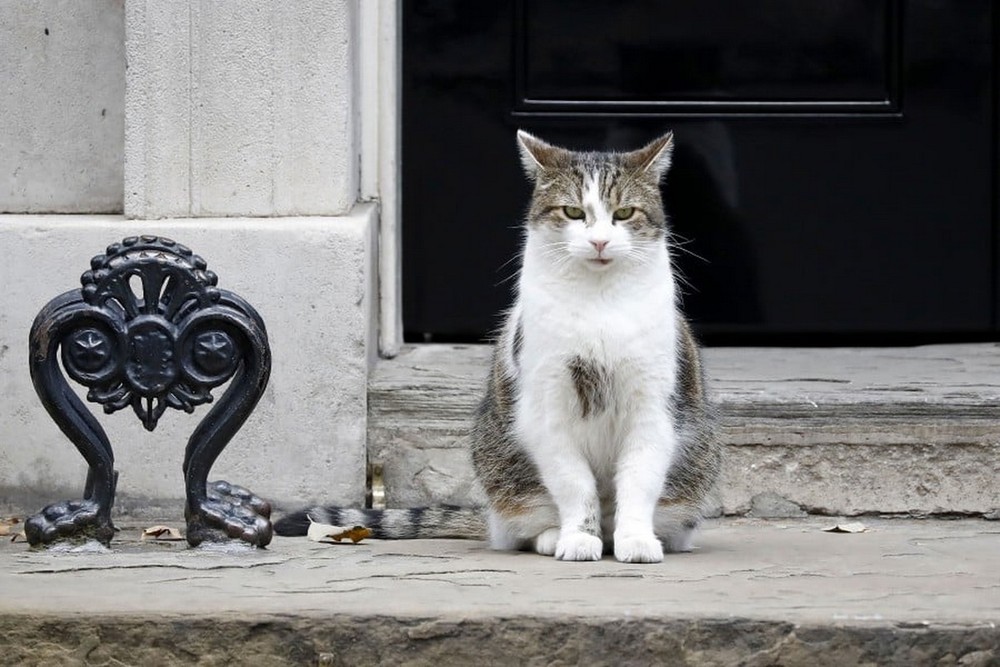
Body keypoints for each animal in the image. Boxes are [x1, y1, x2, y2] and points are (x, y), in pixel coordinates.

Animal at [278, 130, 724, 564]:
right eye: (573, 213)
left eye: (625, 214)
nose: (599, 242)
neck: (599, 303)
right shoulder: (546, 407)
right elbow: (574, 484)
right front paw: (578, 538)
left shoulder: (653, 407)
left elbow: (638, 480)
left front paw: (637, 540)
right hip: (500, 462)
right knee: (518, 526)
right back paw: (553, 536)